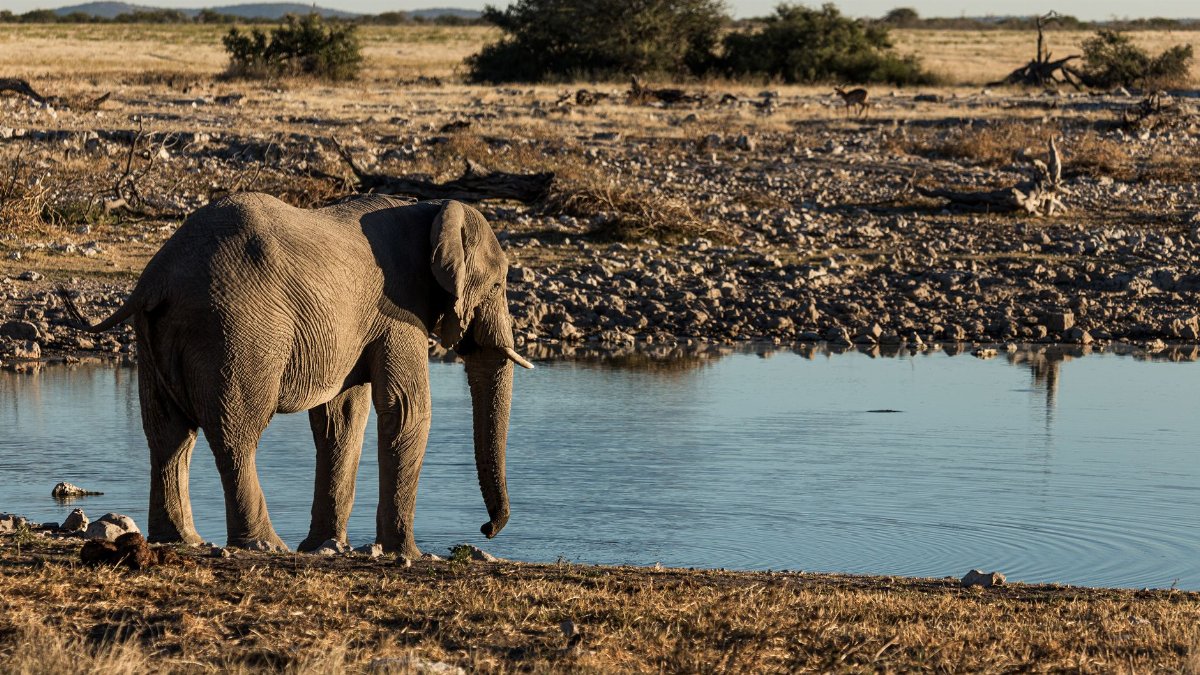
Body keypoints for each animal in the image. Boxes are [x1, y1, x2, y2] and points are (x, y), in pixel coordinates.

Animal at [61, 193, 533, 555]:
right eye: (497, 286)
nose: (486, 530)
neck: (431, 210)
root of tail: (155, 280)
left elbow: (341, 420)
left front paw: (326, 546)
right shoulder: (399, 311)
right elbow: (406, 410)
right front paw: (410, 554)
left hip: (153, 337)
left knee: (167, 435)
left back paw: (183, 540)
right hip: (236, 330)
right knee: (236, 433)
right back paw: (265, 545)